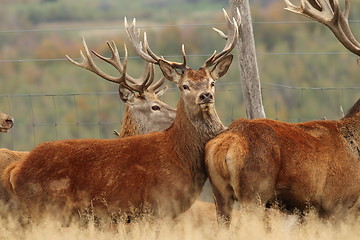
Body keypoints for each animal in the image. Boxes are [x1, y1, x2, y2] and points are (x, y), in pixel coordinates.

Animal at [2, 10, 239, 222]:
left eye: (212, 82)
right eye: (184, 86)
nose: (205, 95)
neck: (180, 154)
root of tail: (13, 172)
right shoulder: (158, 204)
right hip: (46, 209)